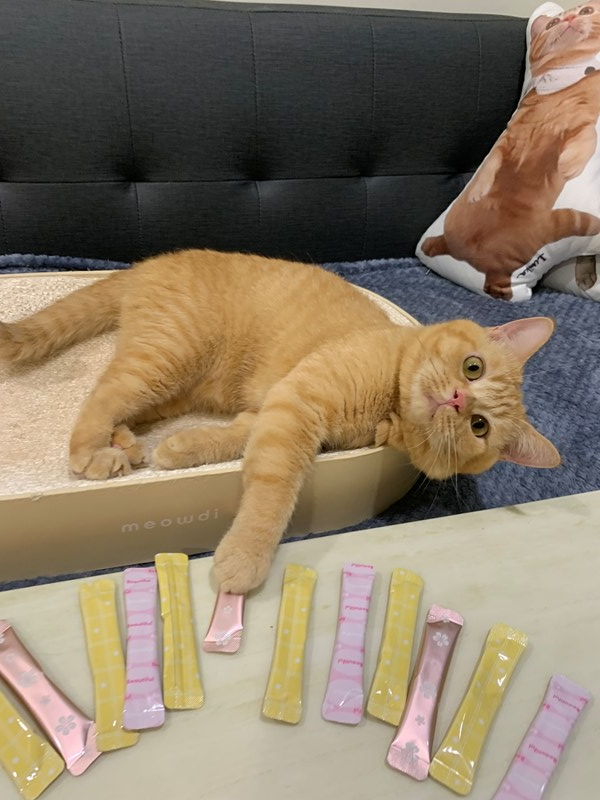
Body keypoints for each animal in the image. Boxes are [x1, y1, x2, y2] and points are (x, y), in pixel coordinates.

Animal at [0, 249, 560, 593]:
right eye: (473, 367)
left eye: (480, 427)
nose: (458, 401)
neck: (389, 407)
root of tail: (146, 264)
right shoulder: (296, 405)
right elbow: (272, 494)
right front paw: (245, 558)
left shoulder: (269, 411)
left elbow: (227, 441)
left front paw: (180, 449)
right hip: (167, 358)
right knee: (103, 393)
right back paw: (93, 450)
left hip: (176, 386)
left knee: (128, 406)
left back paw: (129, 443)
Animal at [421, 2, 600, 299]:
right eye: (553, 23)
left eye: (586, 10)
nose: (570, 18)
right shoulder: (509, 141)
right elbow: (492, 163)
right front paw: (478, 191)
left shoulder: (584, 126)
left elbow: (587, 140)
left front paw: (568, 164)